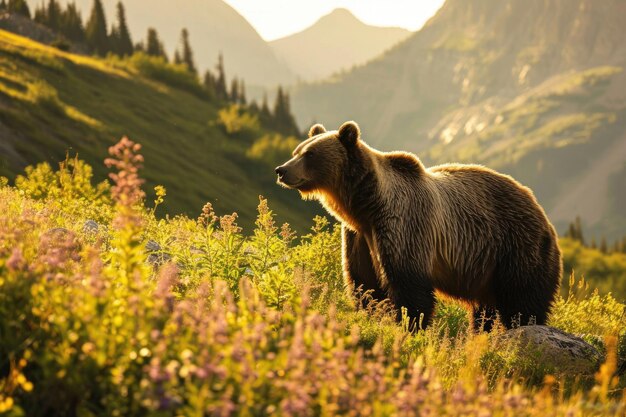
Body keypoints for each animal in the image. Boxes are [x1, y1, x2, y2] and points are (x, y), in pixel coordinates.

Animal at [276, 121, 560, 332]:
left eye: (309, 154)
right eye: (296, 151)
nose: (281, 170)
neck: (365, 205)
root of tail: (541, 212)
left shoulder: (403, 223)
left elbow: (409, 285)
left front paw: (410, 326)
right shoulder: (359, 237)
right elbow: (364, 285)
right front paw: (373, 317)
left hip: (515, 247)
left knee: (523, 300)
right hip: (485, 269)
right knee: (484, 309)